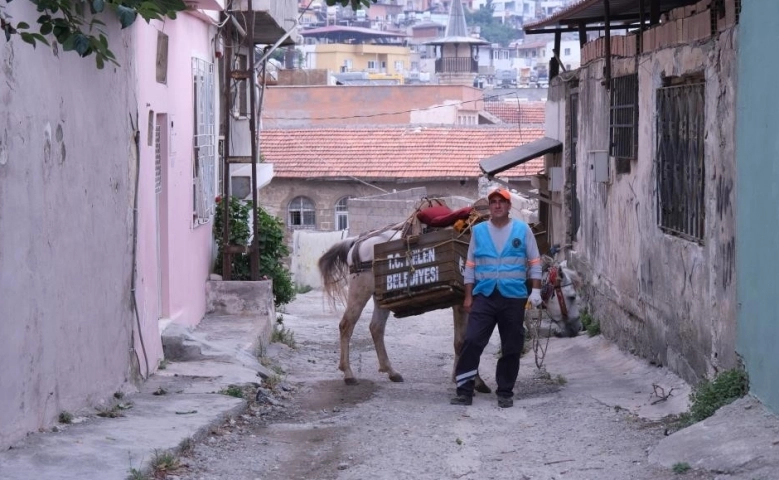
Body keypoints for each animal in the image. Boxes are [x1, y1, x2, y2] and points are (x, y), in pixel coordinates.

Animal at [318, 225, 584, 386]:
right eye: (571, 296)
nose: (577, 329)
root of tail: (357, 241)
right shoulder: (465, 305)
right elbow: (463, 341)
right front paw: (471, 380)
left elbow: (463, 341)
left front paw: (463, 378)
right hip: (360, 290)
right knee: (346, 325)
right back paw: (349, 373)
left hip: (382, 297)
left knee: (375, 328)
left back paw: (390, 371)